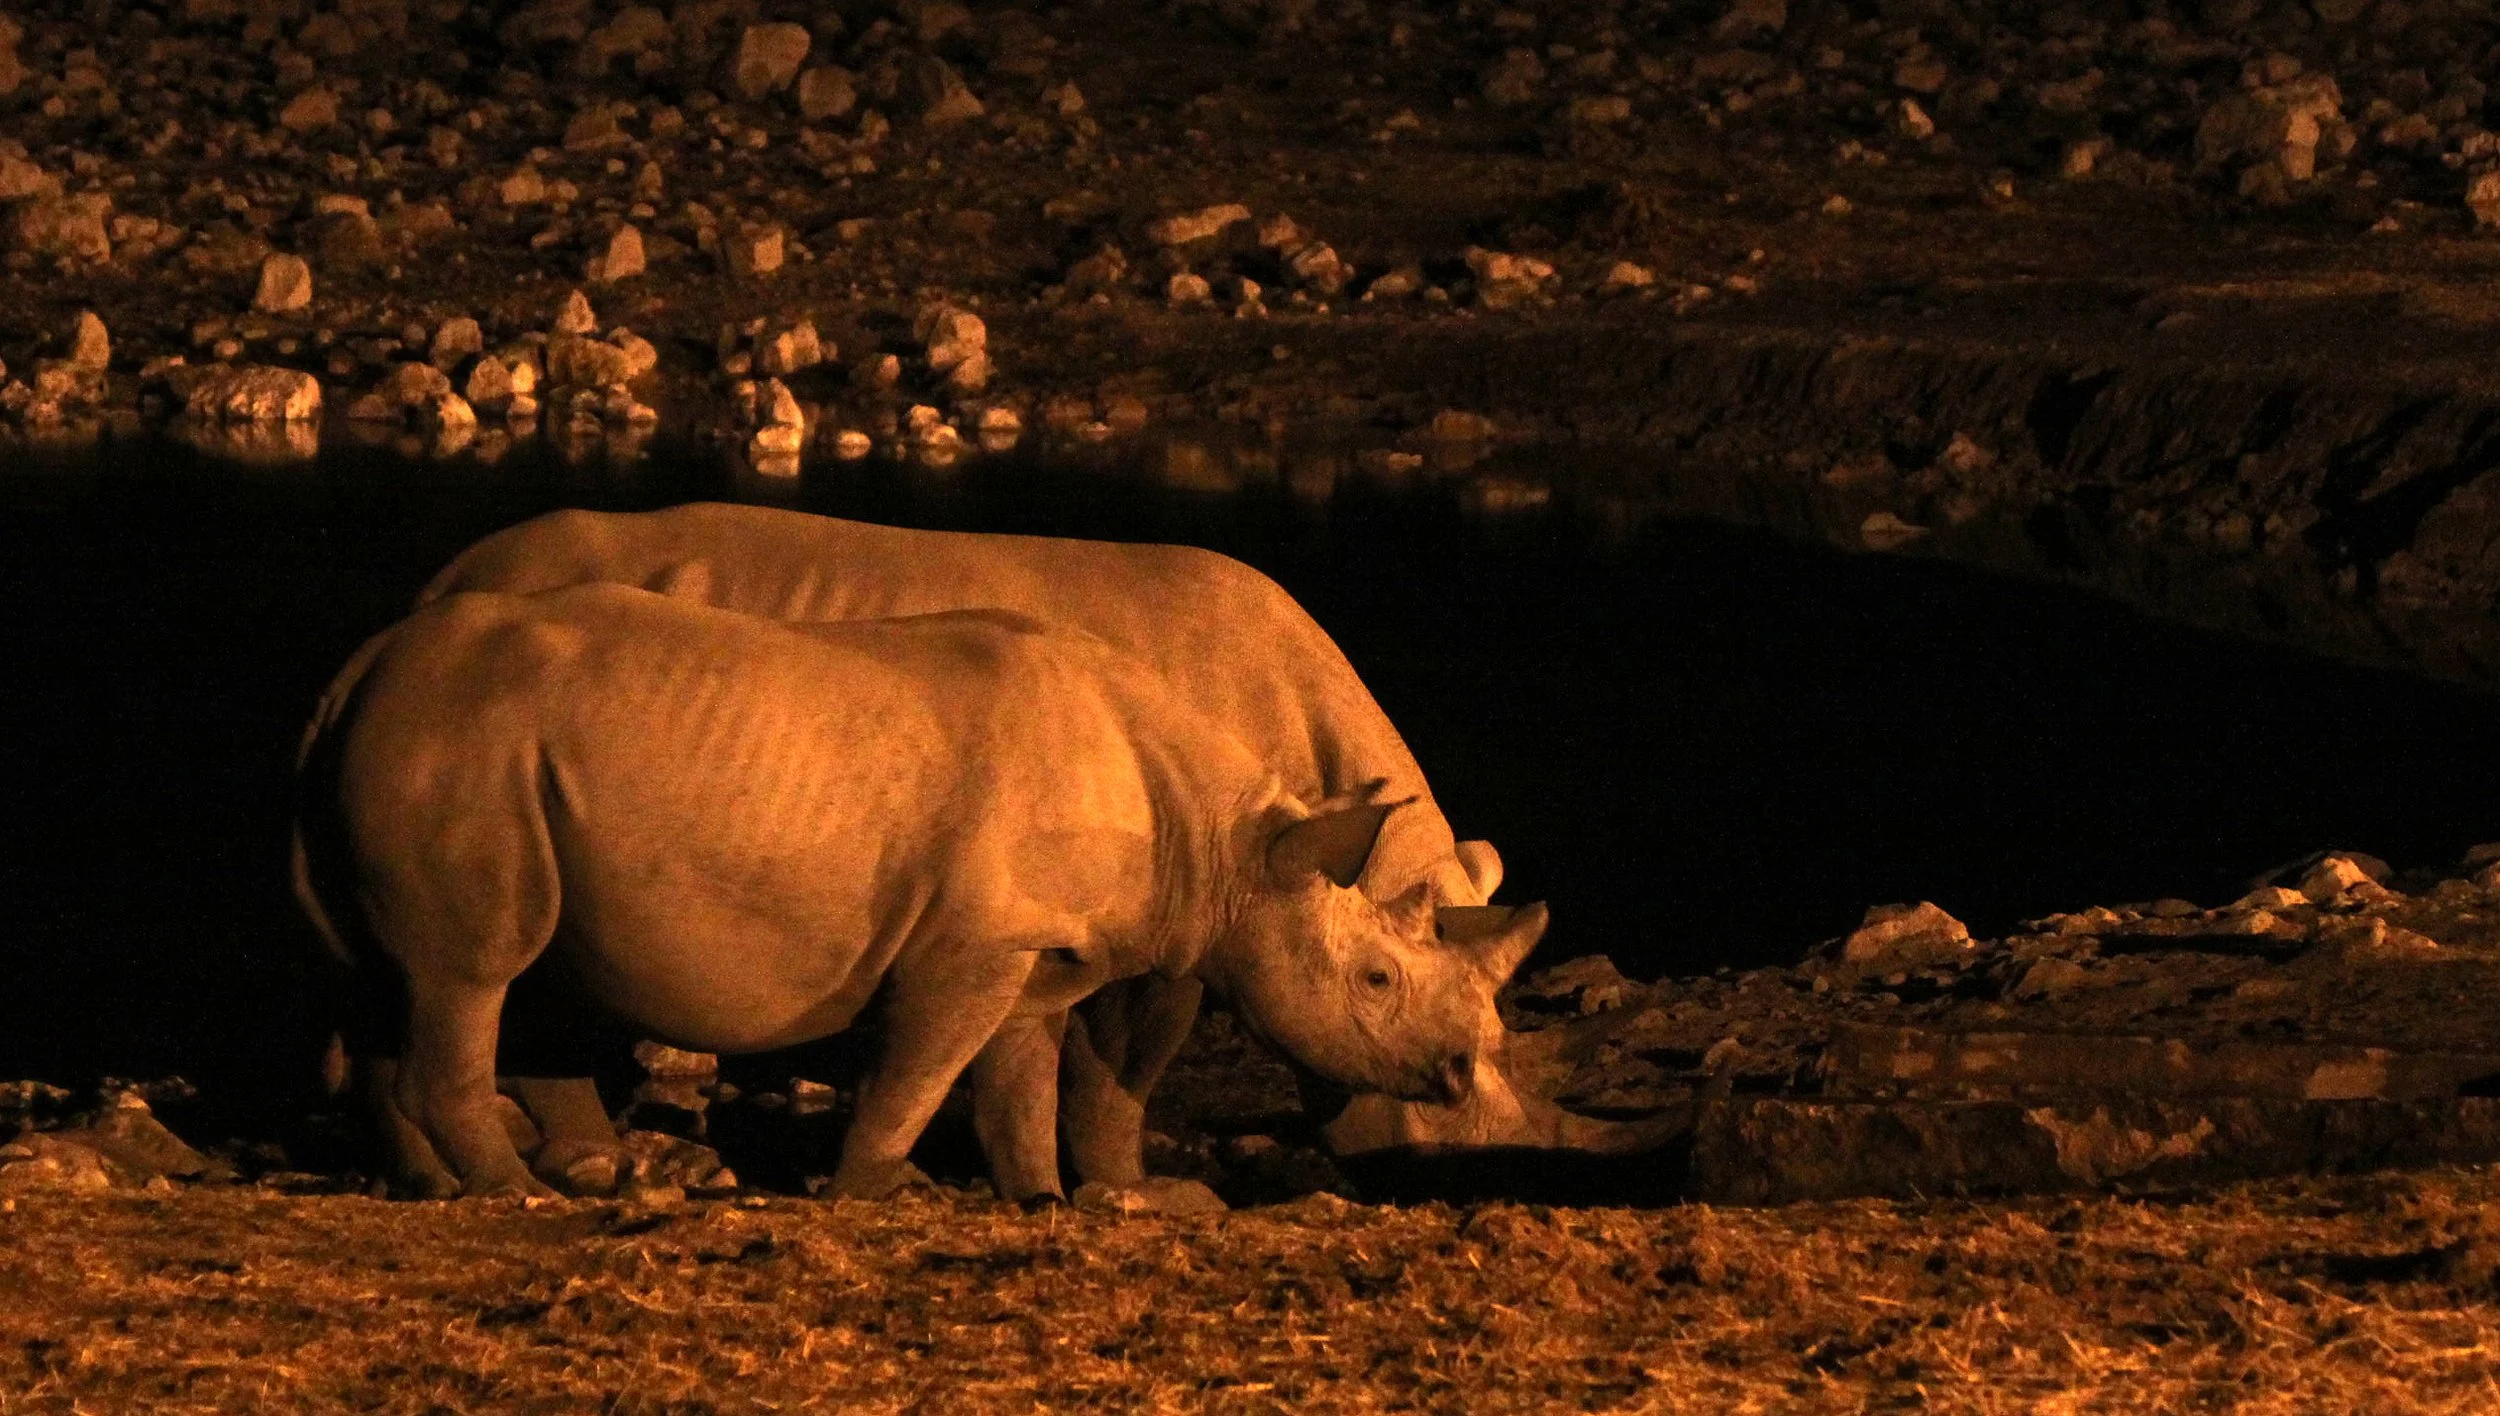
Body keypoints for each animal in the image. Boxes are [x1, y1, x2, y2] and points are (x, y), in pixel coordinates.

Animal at [416, 503, 1634, 1194]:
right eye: (1450, 1087)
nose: (1490, 1162)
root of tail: (441, 582)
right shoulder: (1176, 915)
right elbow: (1121, 1069)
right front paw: (1129, 1191)